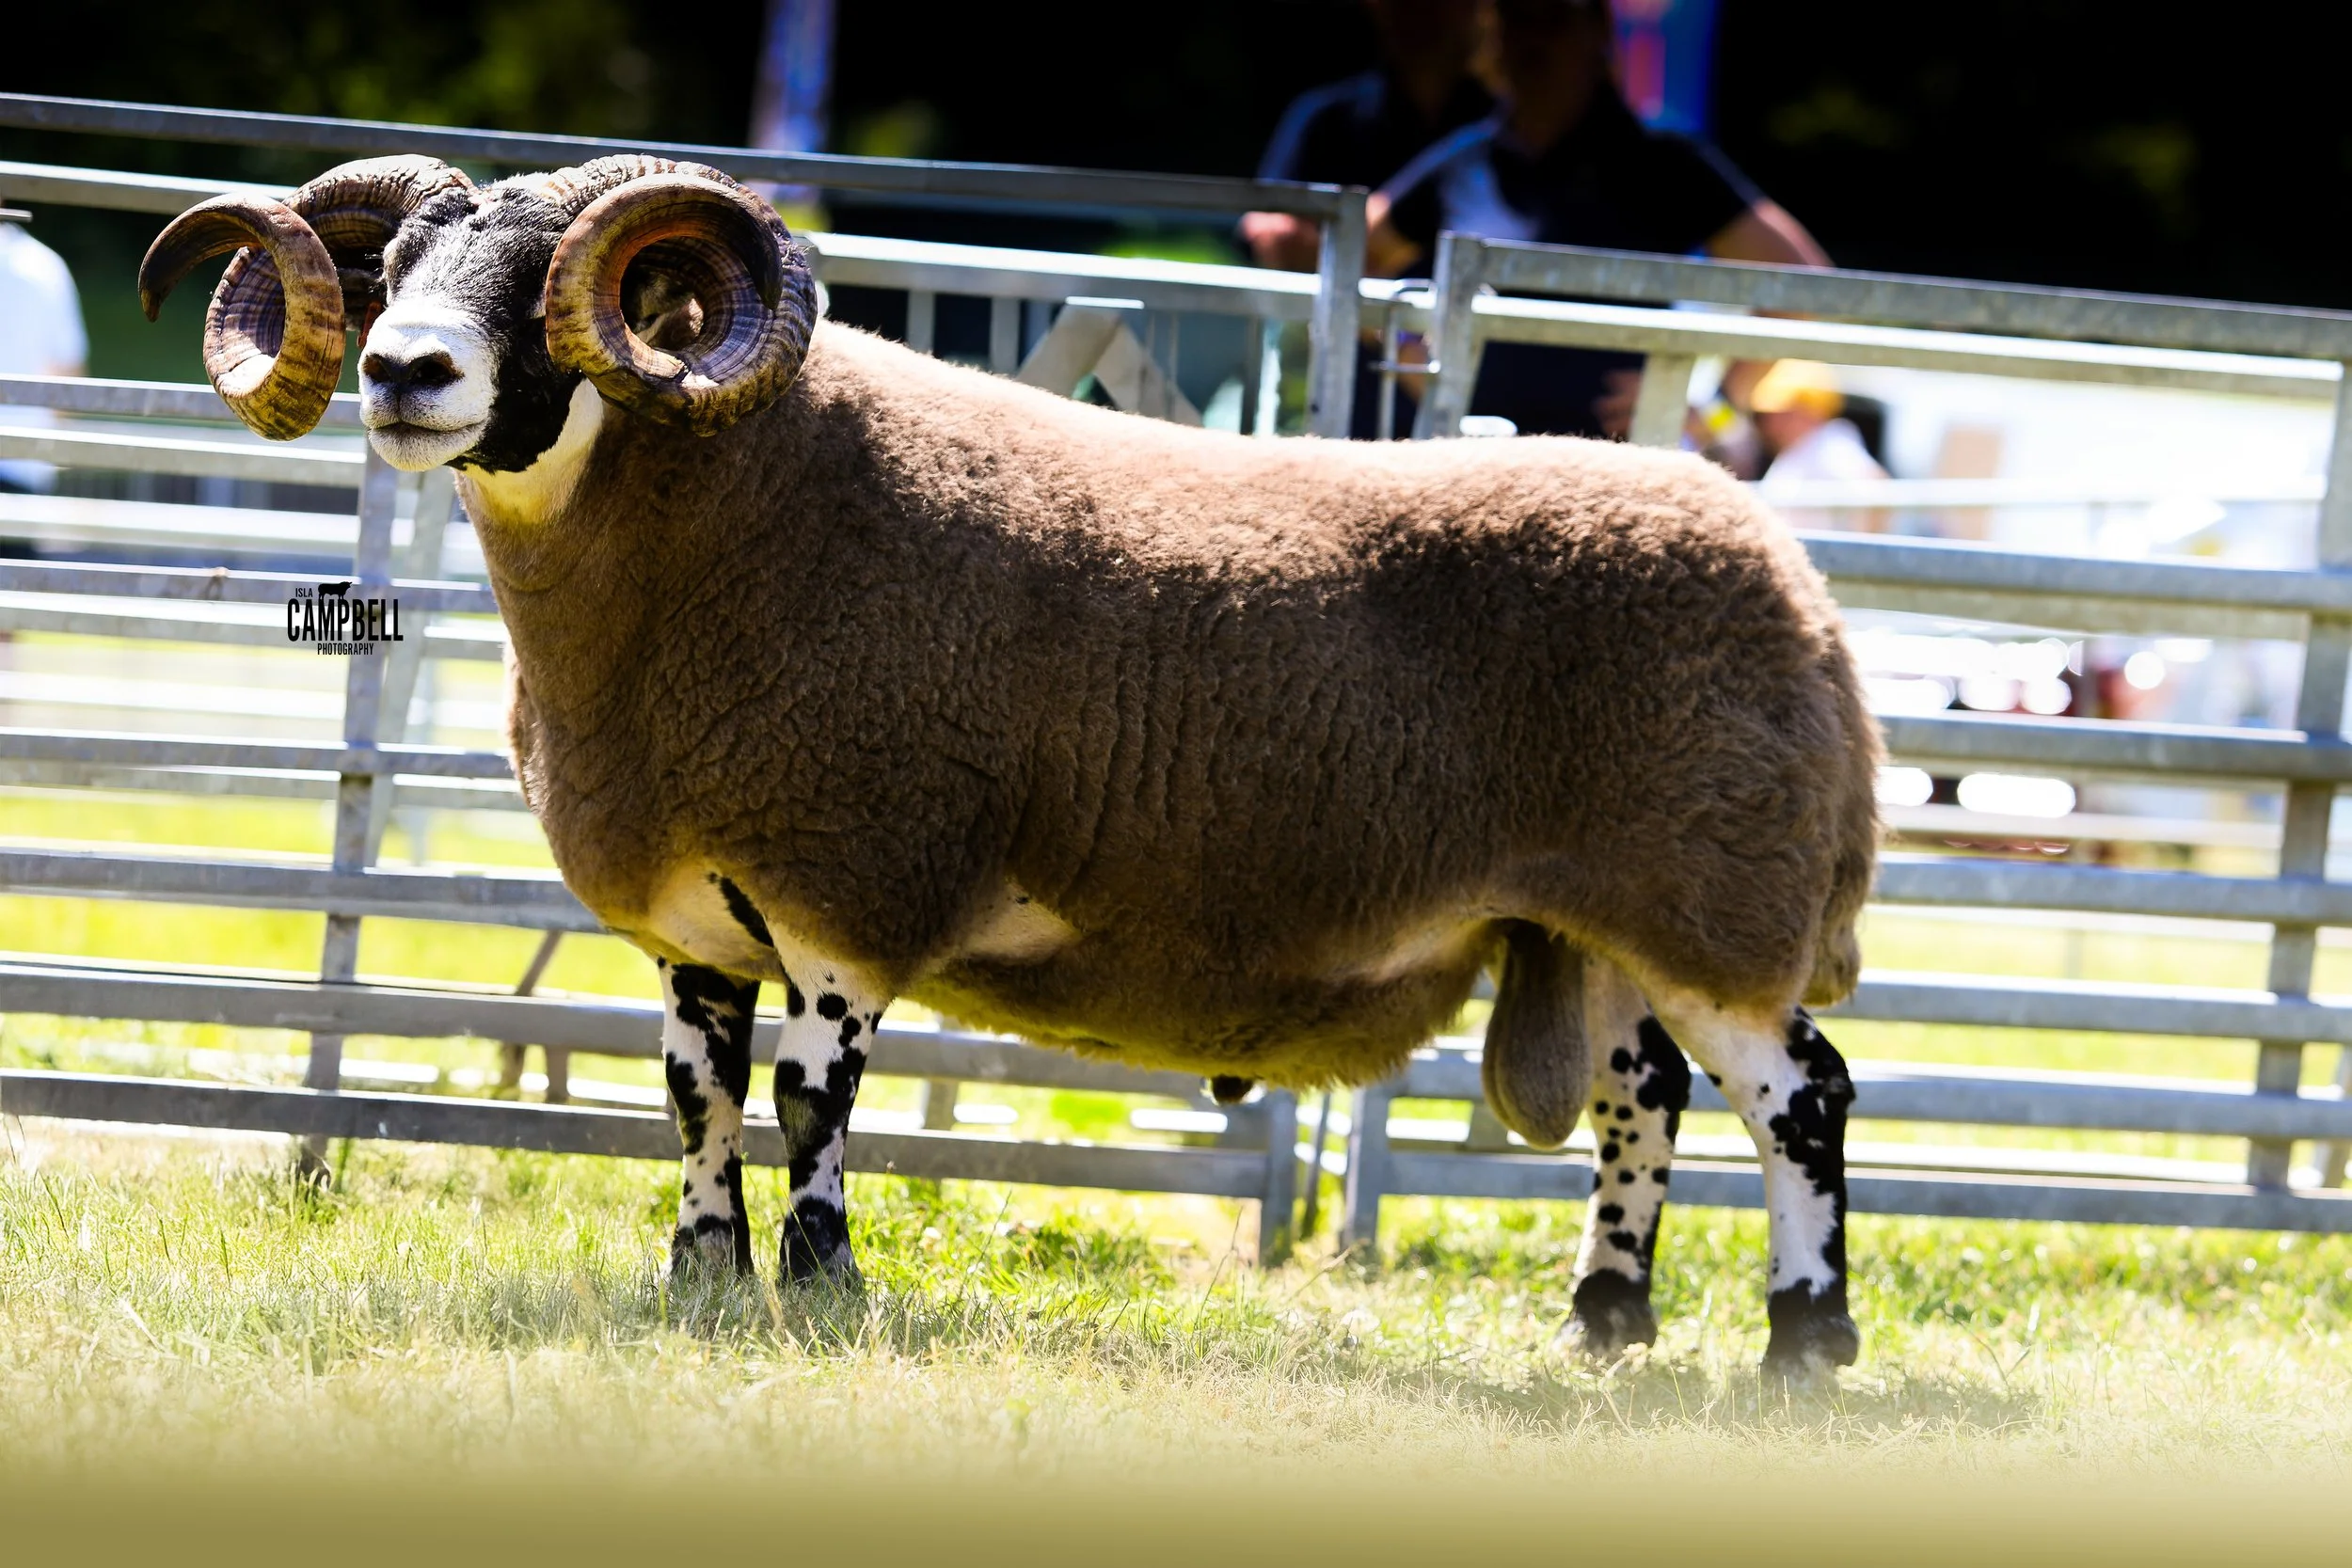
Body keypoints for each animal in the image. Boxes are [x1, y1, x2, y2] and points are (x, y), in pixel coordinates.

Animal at [141, 154, 1882, 1375]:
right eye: (393, 273)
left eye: (542, 285)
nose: (402, 375)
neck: (727, 506)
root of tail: (1793, 581)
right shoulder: (702, 915)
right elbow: (699, 1094)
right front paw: (700, 1280)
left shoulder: (853, 865)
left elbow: (810, 1095)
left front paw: (823, 1285)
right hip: (1621, 913)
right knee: (1645, 1102)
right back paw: (1603, 1324)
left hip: (1722, 888)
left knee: (1801, 1095)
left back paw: (1804, 1342)